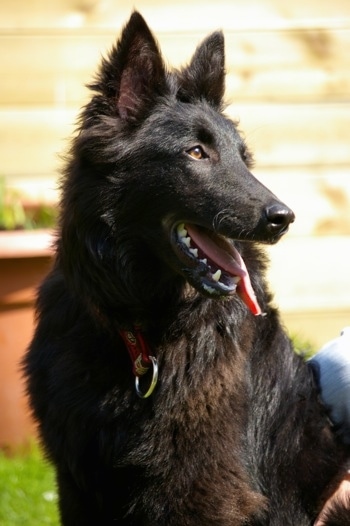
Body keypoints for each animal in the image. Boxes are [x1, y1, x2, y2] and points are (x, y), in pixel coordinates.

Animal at [24, 12, 350, 526]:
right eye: (196, 152)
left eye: (243, 157)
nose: (284, 218)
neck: (141, 333)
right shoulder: (78, 484)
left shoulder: (203, 488)